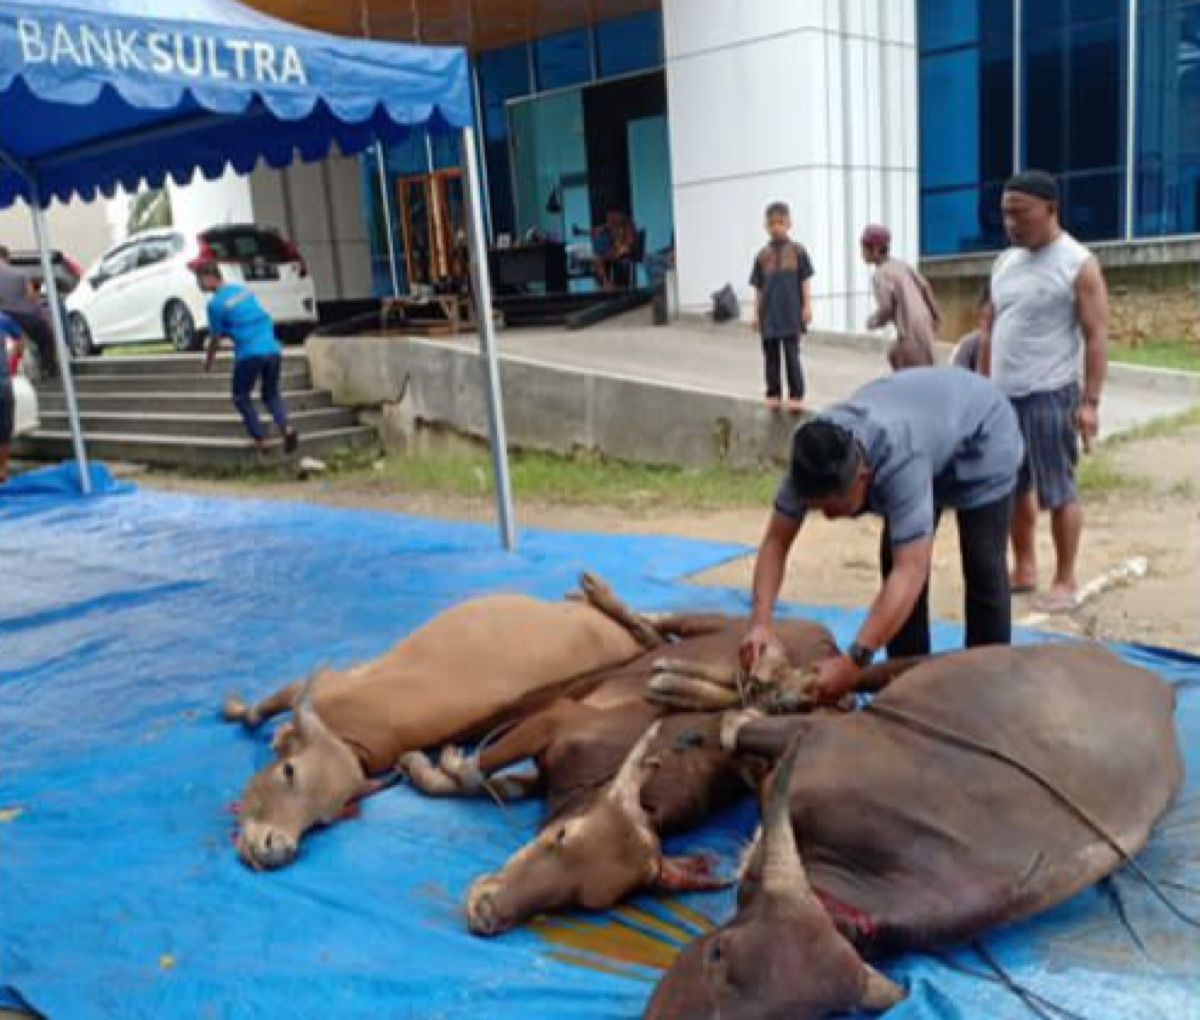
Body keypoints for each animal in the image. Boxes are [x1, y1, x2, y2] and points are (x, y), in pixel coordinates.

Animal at [224, 580, 657, 868]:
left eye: (326, 817)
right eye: (287, 772)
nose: (276, 847)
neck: (347, 735)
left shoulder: (328, 681)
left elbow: (263, 707)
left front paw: (238, 710)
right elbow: (264, 707)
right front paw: (236, 710)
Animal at [643, 643, 1176, 1017]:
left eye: (793, 1019)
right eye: (717, 953)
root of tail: (1158, 686)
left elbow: (739, 730)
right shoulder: (820, 738)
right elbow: (741, 727)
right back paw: (679, 679)